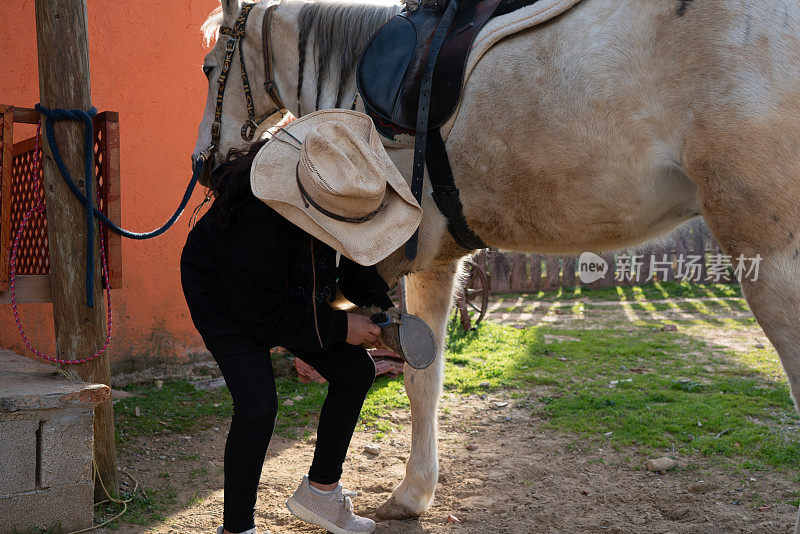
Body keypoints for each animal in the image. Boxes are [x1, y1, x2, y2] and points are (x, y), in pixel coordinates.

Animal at [192, 0, 800, 528]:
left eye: (208, 68)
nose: (203, 163)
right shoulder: (437, 263)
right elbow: (425, 377)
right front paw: (416, 494)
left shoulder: (388, 261)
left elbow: (402, 368)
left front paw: (406, 494)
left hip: (771, 258)